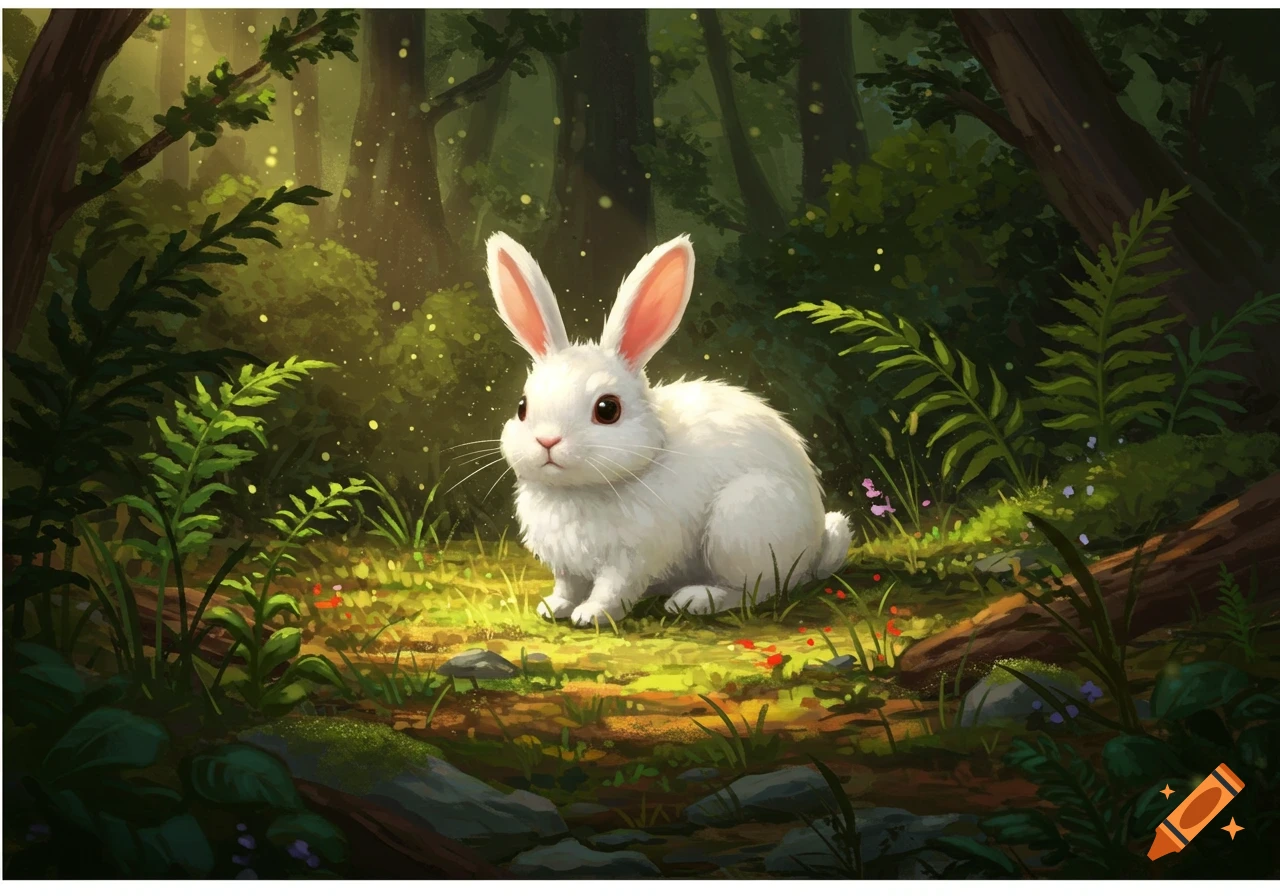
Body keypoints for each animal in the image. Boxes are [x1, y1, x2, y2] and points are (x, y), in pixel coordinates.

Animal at [484, 231, 851, 627]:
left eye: (607, 409)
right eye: (522, 407)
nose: (547, 440)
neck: (578, 491)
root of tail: (815, 547)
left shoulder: (631, 558)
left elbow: (612, 589)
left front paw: (592, 615)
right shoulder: (567, 565)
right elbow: (567, 586)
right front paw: (554, 608)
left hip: (743, 521)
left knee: (758, 589)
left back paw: (694, 600)